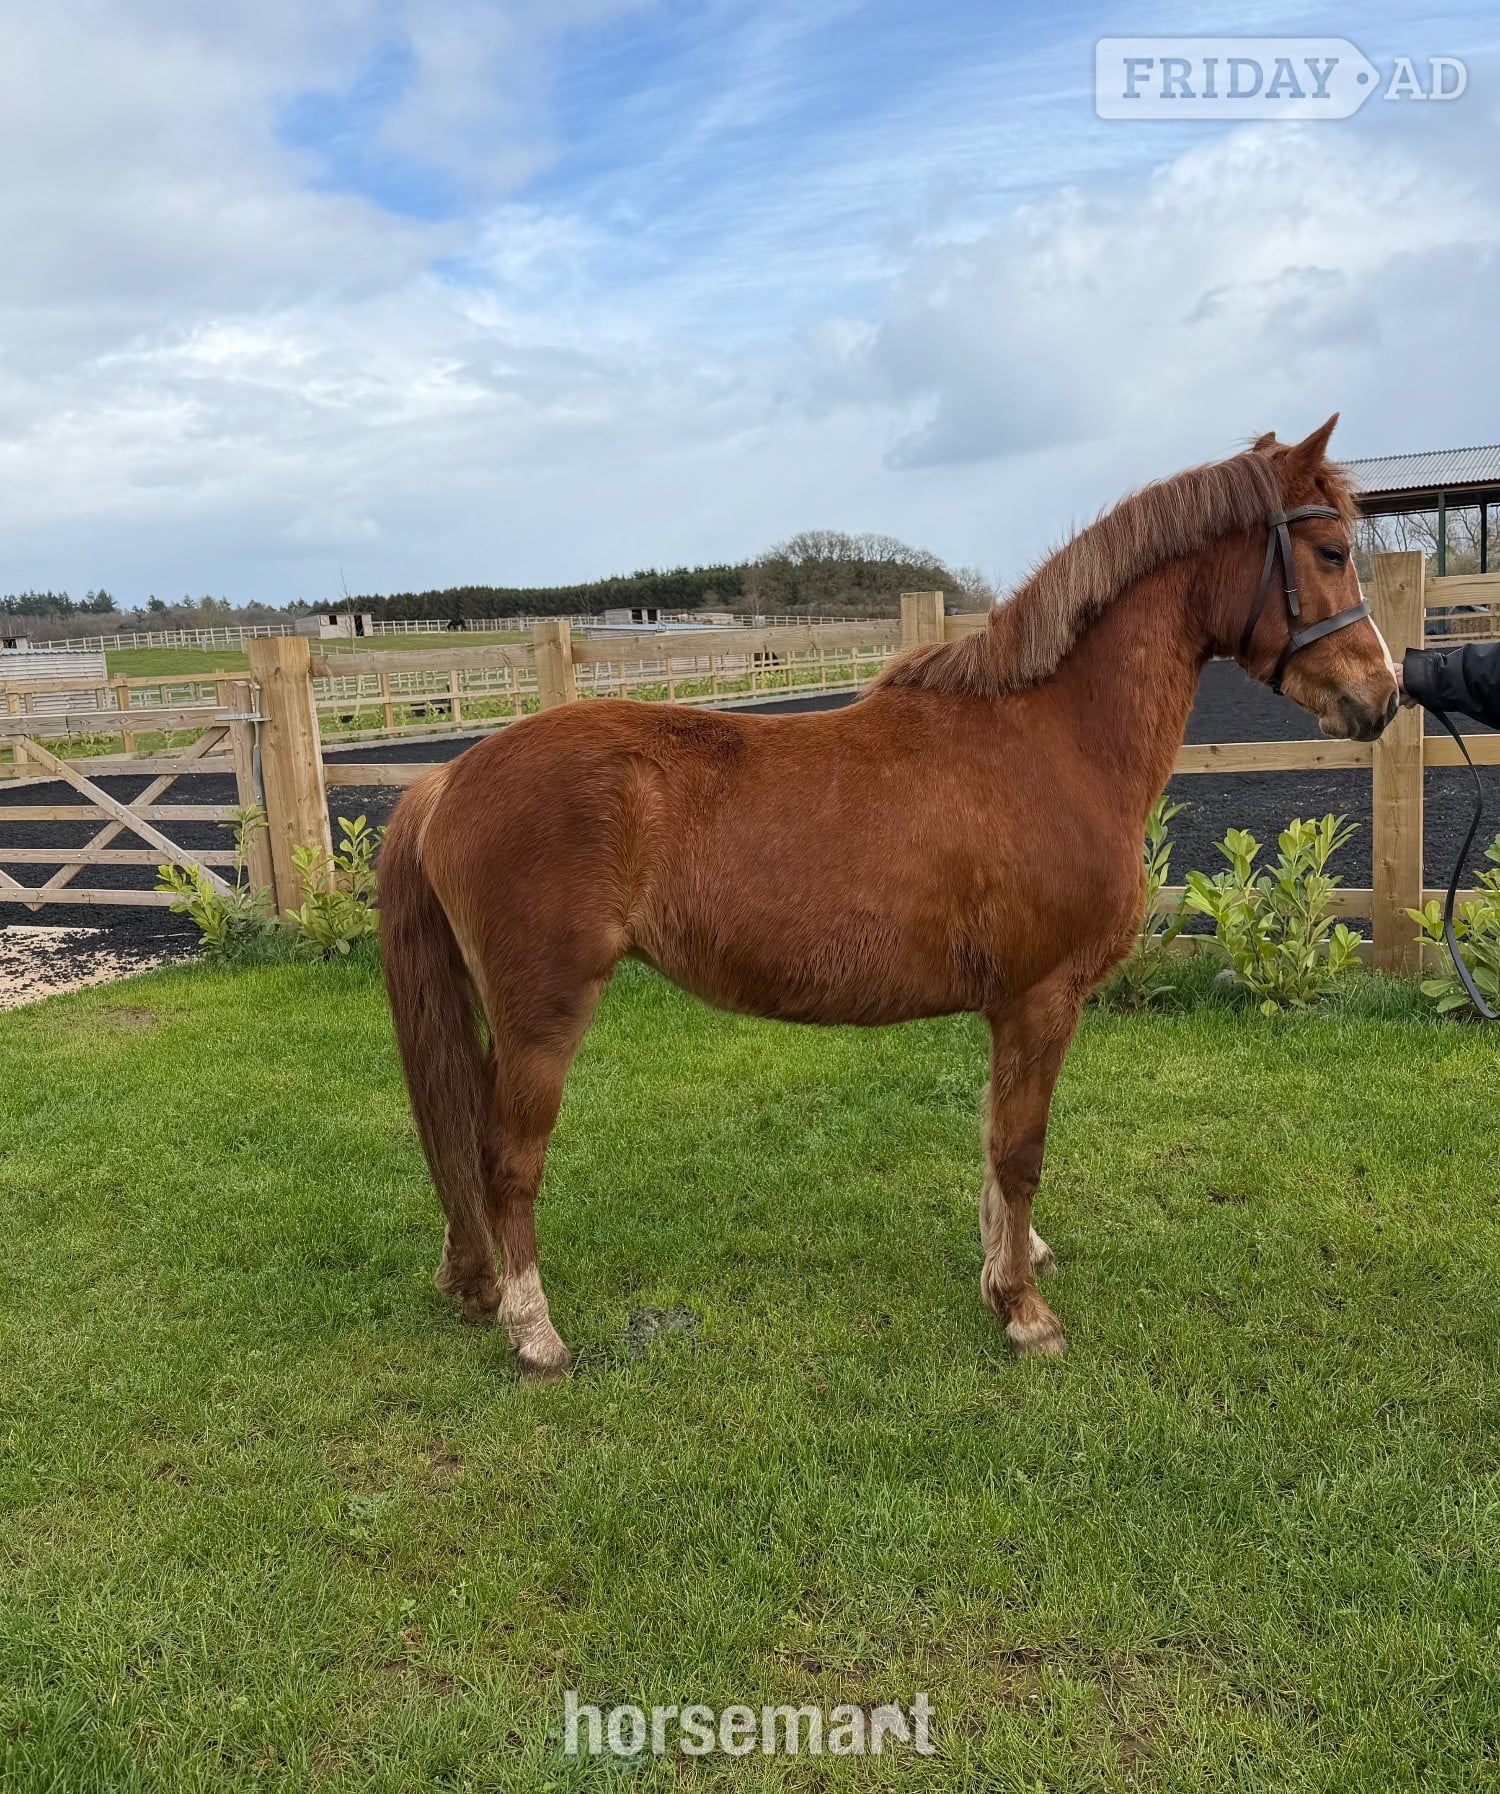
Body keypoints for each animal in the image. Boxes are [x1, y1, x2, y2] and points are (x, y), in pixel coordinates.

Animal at [380, 415, 1397, 1377]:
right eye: (1331, 551)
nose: (1381, 698)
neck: (1051, 739)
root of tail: (449, 777)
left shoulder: (1009, 1009)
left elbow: (994, 1140)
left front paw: (1012, 1259)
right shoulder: (1041, 999)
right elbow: (1020, 1150)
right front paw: (1023, 1312)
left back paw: (477, 1287)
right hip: (545, 1015)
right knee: (507, 1161)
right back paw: (535, 1334)